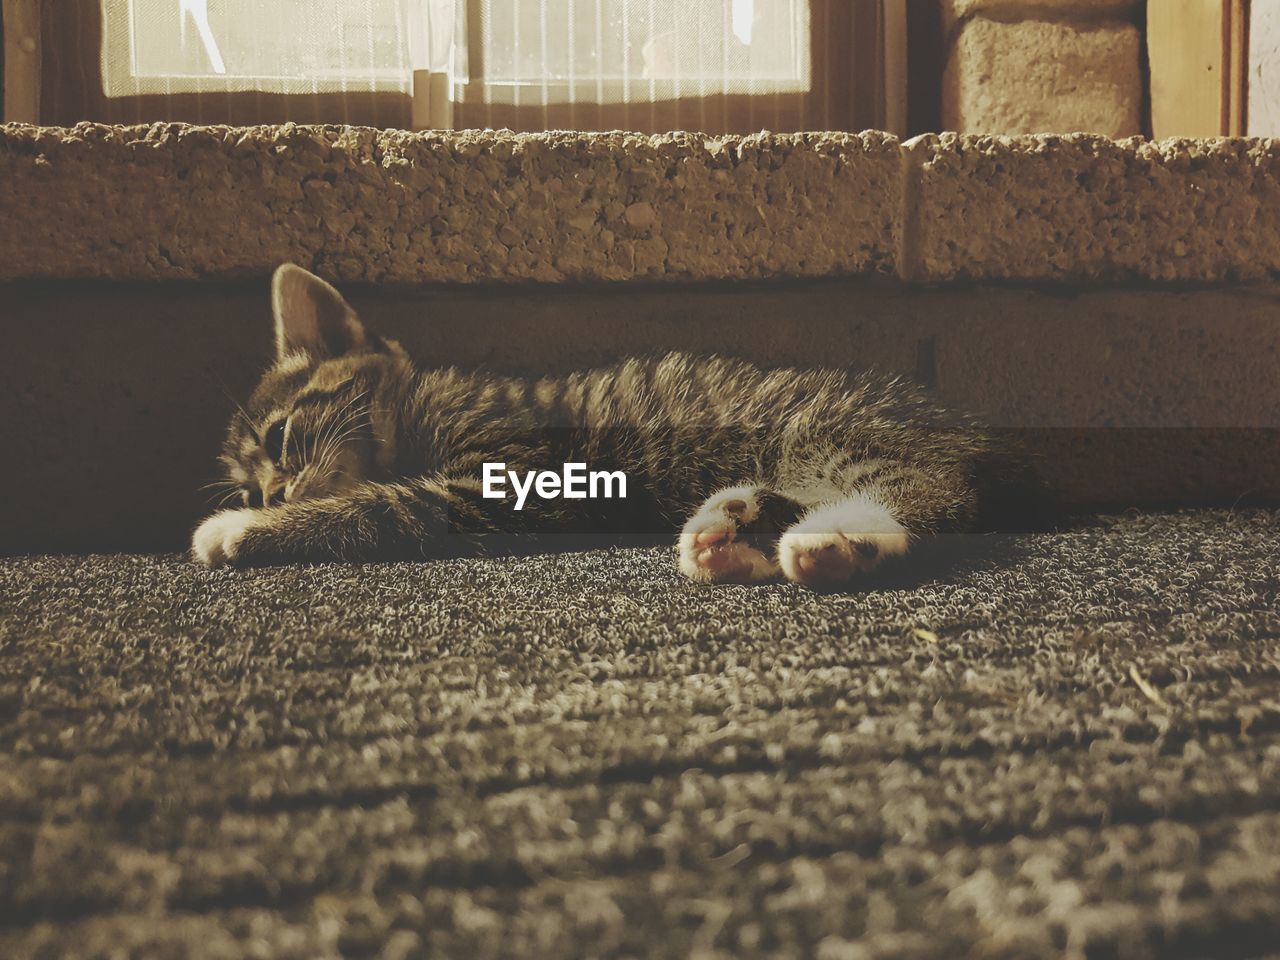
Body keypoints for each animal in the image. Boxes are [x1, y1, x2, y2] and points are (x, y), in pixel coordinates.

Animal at [194, 267, 1044, 591]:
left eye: (279, 439)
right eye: (251, 480)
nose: (271, 495)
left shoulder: (504, 480)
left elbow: (375, 507)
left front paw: (240, 532)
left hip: (829, 432)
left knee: (929, 500)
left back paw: (833, 543)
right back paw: (734, 533)